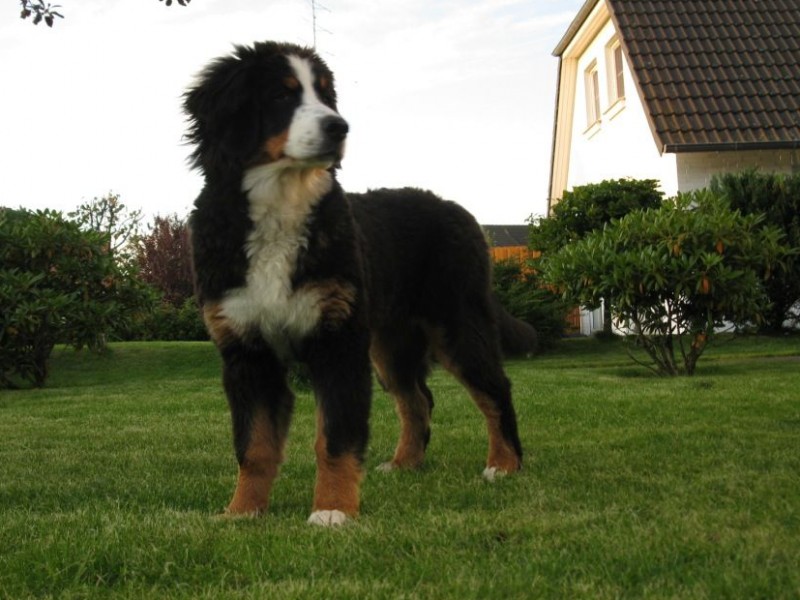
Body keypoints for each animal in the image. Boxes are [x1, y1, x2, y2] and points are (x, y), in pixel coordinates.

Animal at [184, 41, 531, 526]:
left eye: (325, 95)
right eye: (281, 95)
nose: (339, 126)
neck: (280, 208)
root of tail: (452, 206)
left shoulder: (338, 342)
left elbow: (335, 436)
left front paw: (332, 510)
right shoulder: (247, 350)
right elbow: (253, 446)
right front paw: (242, 512)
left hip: (457, 321)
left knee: (494, 389)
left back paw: (503, 464)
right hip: (390, 342)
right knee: (417, 399)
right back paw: (405, 463)